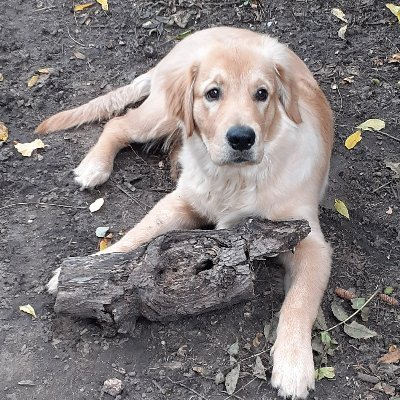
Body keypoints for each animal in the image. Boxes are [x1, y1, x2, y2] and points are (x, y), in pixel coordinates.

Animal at [38, 28, 334, 400]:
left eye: (262, 94)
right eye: (213, 93)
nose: (241, 138)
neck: (237, 179)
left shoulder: (311, 242)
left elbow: (300, 301)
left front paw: (294, 366)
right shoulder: (182, 202)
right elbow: (136, 234)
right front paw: (84, 269)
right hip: (161, 114)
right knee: (118, 123)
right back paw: (94, 166)